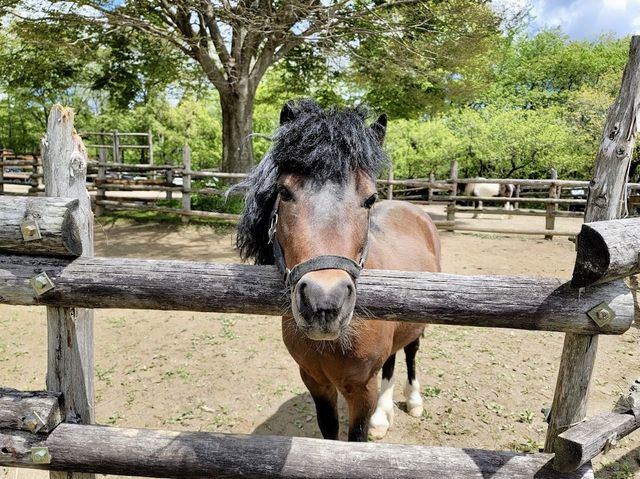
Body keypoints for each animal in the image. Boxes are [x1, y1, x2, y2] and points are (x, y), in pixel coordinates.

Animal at [234, 100, 440, 442]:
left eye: (370, 198)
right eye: (284, 192)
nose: (324, 302)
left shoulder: (362, 388)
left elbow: (354, 438)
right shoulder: (315, 381)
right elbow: (330, 434)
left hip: (417, 323)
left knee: (410, 353)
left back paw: (413, 402)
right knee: (392, 360)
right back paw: (383, 417)